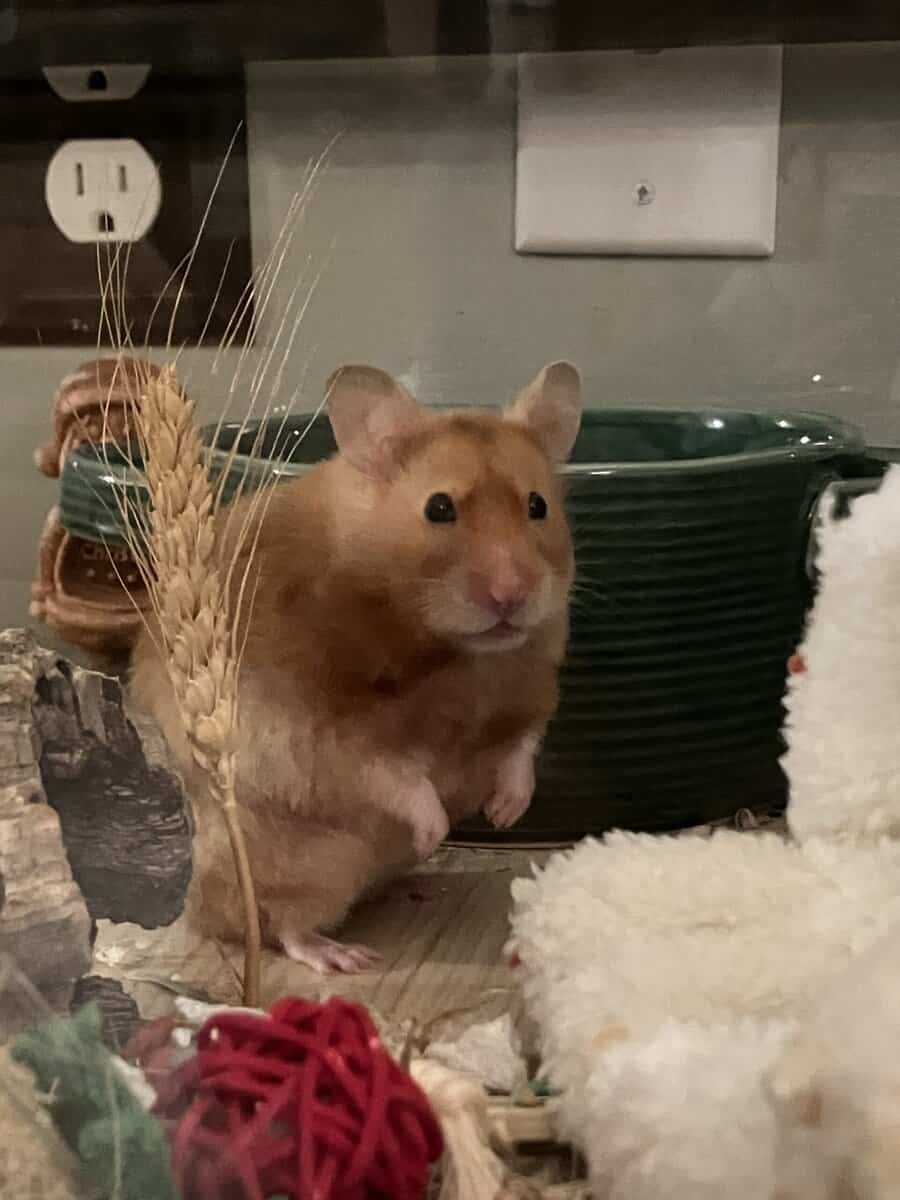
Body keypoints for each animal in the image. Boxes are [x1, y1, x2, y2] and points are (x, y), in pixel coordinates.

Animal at [130, 360, 582, 973]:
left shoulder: (530, 695)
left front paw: (504, 812)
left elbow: (521, 748)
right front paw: (436, 834)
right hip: (308, 866)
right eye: (439, 508)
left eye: (538, 505)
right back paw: (347, 956)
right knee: (284, 926)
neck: (461, 655)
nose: (512, 595)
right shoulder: (329, 737)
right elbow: (397, 779)